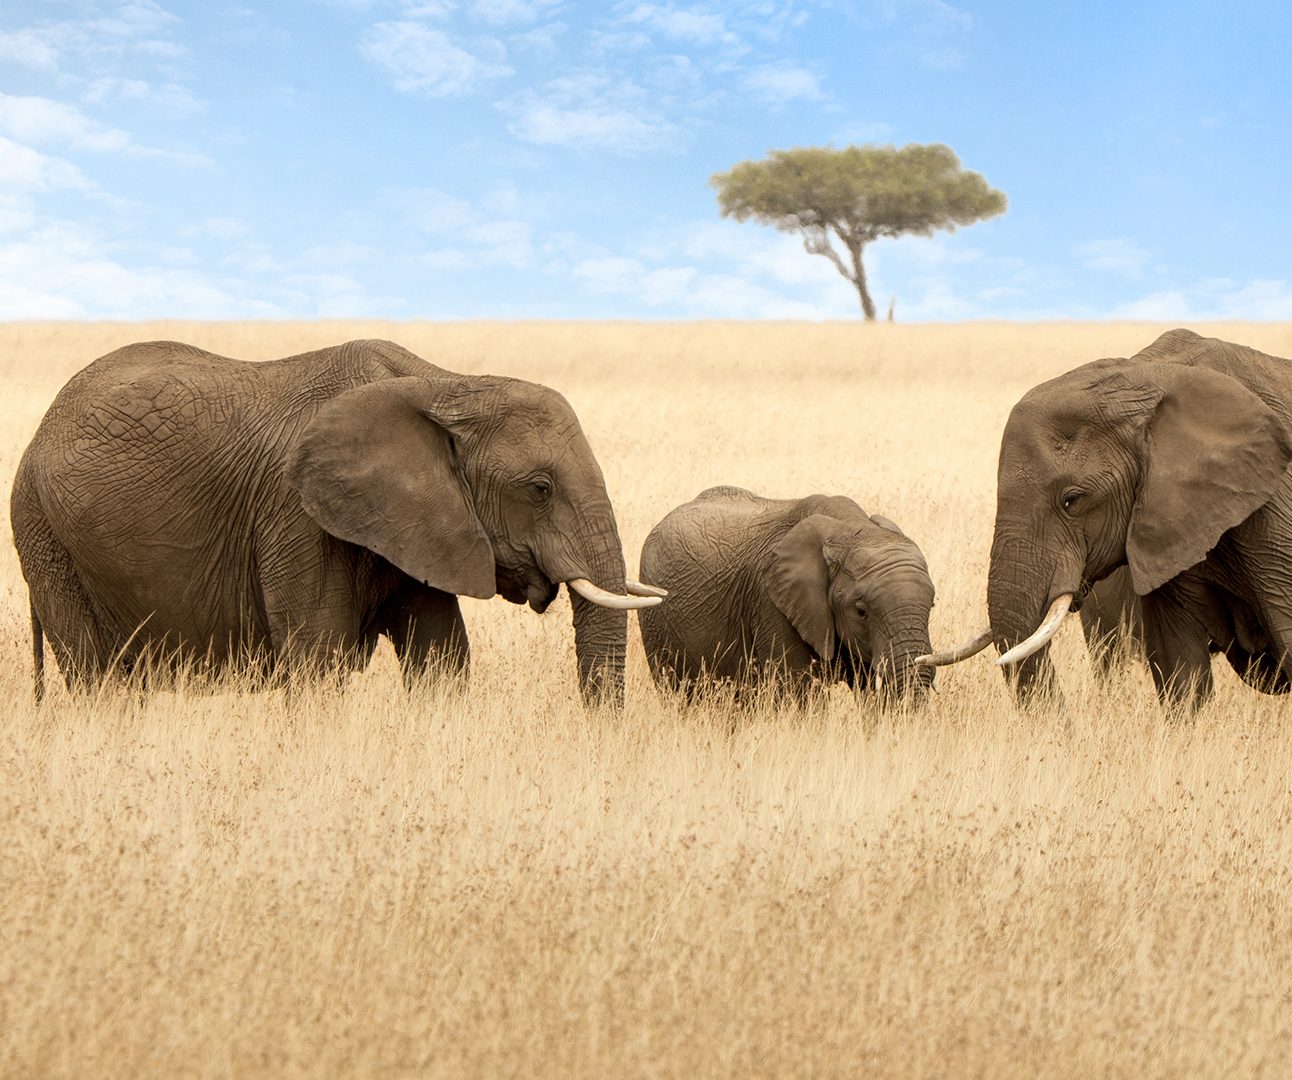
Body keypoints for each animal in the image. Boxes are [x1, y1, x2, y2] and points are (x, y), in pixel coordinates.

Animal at [15, 341, 666, 702]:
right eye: (539, 489)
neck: (444, 383)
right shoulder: (297, 513)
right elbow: (317, 656)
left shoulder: (421, 521)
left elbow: (441, 657)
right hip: (45, 536)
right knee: (98, 678)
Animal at [633, 488, 930, 702]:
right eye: (861, 611)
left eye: (932, 605)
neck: (850, 528)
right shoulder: (770, 602)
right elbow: (798, 694)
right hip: (657, 621)